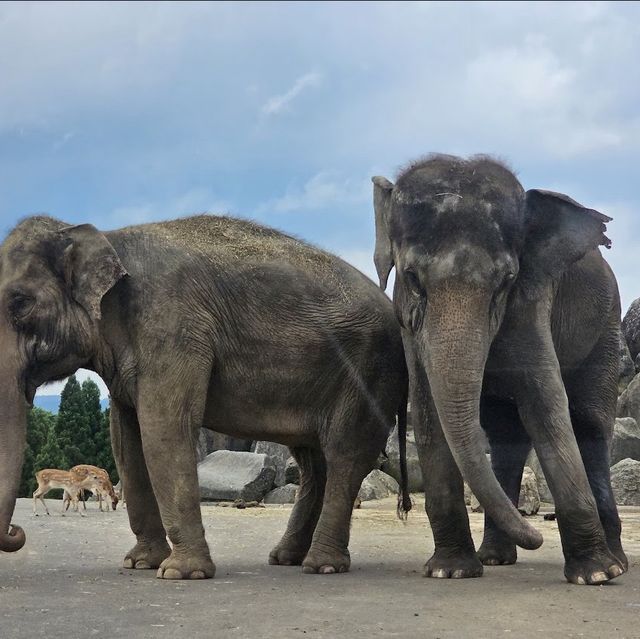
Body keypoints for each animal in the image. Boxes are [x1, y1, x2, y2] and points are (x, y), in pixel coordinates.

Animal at [0, 214, 410, 580]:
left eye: (20, 303)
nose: (16, 533)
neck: (106, 238)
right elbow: (126, 442)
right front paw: (139, 564)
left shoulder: (173, 330)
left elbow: (165, 431)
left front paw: (180, 573)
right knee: (314, 461)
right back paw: (286, 558)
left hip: (368, 373)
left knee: (345, 454)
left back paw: (321, 566)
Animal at [372, 154, 628, 584]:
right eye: (412, 278)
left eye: (506, 281)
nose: (536, 535)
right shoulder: (406, 319)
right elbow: (428, 412)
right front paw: (451, 572)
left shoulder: (531, 302)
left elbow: (546, 405)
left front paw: (595, 576)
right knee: (506, 434)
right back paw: (494, 558)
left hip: (607, 328)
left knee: (590, 425)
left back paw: (618, 564)